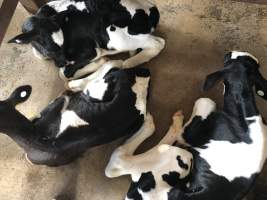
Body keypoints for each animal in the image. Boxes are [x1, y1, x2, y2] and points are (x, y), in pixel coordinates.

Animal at [8, 0, 165, 79]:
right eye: (49, 50)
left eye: (62, 45)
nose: (61, 63)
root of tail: (151, 7)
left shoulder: (90, 51)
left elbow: (64, 74)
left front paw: (100, 62)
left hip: (116, 37)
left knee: (158, 43)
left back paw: (127, 63)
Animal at [105, 52, 267, 200]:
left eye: (229, 60)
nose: (227, 53)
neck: (246, 116)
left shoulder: (192, 134)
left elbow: (205, 101)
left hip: (180, 156)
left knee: (118, 162)